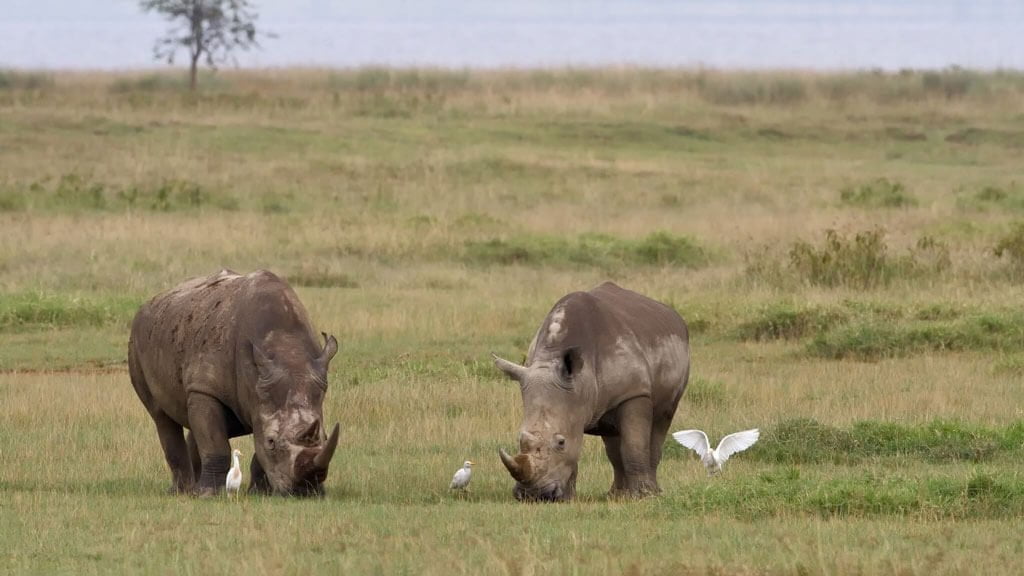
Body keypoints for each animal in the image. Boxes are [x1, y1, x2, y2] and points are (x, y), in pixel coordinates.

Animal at [128, 269, 341, 497]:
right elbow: (217, 445)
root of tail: (152, 300)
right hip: (138, 339)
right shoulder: (208, 388)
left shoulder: (260, 400)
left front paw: (259, 493)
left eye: (325, 437)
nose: (305, 490)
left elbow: (251, 448)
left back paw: (192, 489)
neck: (286, 347)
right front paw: (208, 495)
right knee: (161, 415)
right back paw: (182, 491)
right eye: (271, 442)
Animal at [492, 282, 689, 501]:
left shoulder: (634, 392)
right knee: (612, 439)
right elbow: (577, 450)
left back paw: (650, 492)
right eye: (520, 439)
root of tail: (675, 317)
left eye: (561, 442)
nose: (533, 495)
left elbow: (634, 445)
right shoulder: (571, 401)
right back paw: (615, 495)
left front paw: (642, 497)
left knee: (661, 422)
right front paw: (569, 498)